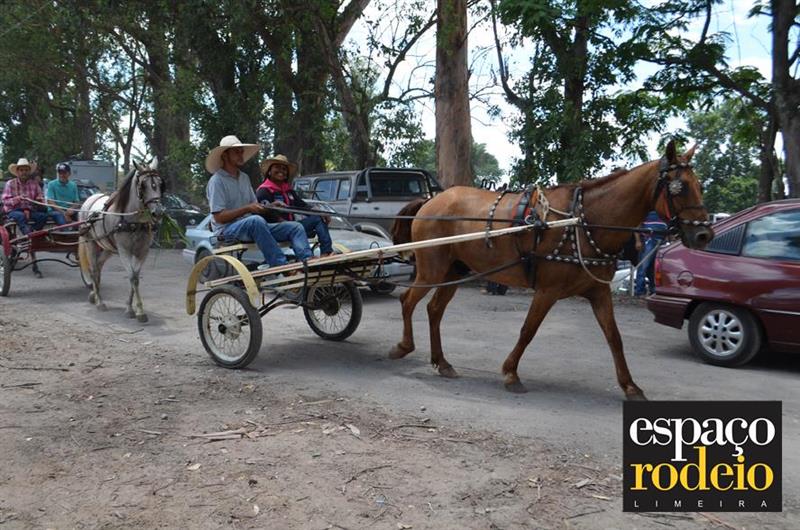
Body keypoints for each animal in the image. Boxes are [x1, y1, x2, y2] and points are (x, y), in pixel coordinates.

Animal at [78, 160, 165, 322]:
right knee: (93, 270)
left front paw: (131, 308)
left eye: (159, 184)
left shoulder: (142, 252)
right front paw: (138, 311)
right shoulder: (124, 251)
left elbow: (135, 277)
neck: (134, 222)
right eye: (143, 186)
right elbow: (132, 277)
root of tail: (89, 200)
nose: (158, 212)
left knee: (98, 267)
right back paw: (100, 302)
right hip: (91, 243)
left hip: (107, 248)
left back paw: (94, 295)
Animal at [389, 141, 713, 400]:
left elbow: (614, 337)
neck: (582, 222)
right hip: (432, 269)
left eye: (699, 186)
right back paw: (403, 346)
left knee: (434, 310)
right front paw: (511, 373)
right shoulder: (547, 290)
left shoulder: (598, 291)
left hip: (455, 271)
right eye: (679, 188)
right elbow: (528, 330)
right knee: (407, 301)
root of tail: (432, 200)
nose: (704, 235)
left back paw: (441, 361)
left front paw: (630, 385)